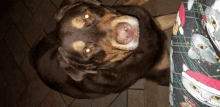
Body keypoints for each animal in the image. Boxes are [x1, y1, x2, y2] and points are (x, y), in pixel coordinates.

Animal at [29, 0, 176, 98]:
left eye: (87, 16)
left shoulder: (156, 22)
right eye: (88, 51)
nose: (125, 31)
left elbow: (174, 15)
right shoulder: (165, 74)